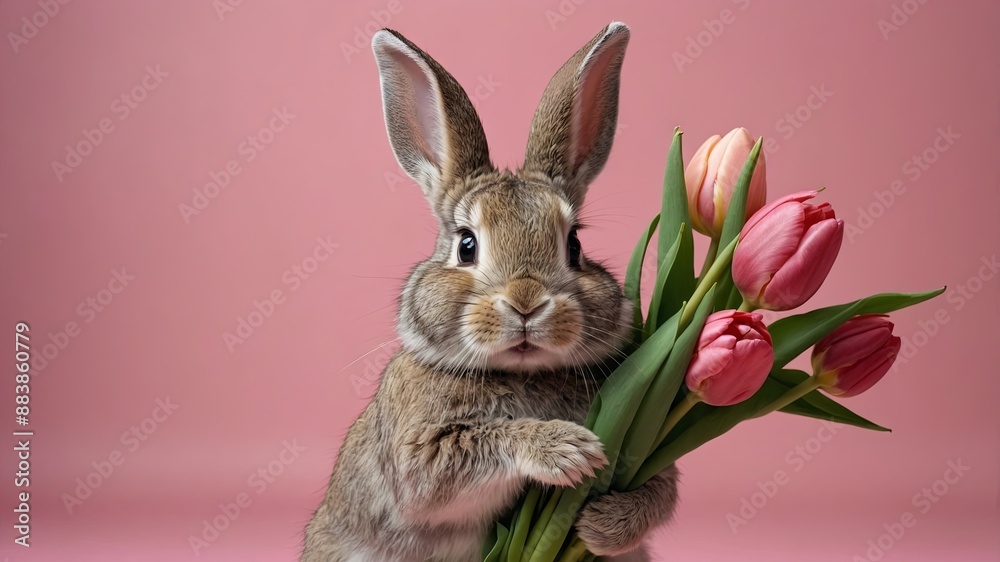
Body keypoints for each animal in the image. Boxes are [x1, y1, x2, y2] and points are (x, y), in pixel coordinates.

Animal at [302, 22, 679, 562]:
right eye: (466, 245)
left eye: (575, 244)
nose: (526, 304)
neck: (521, 374)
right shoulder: (422, 456)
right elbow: (473, 450)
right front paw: (568, 450)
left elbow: (659, 494)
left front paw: (600, 525)